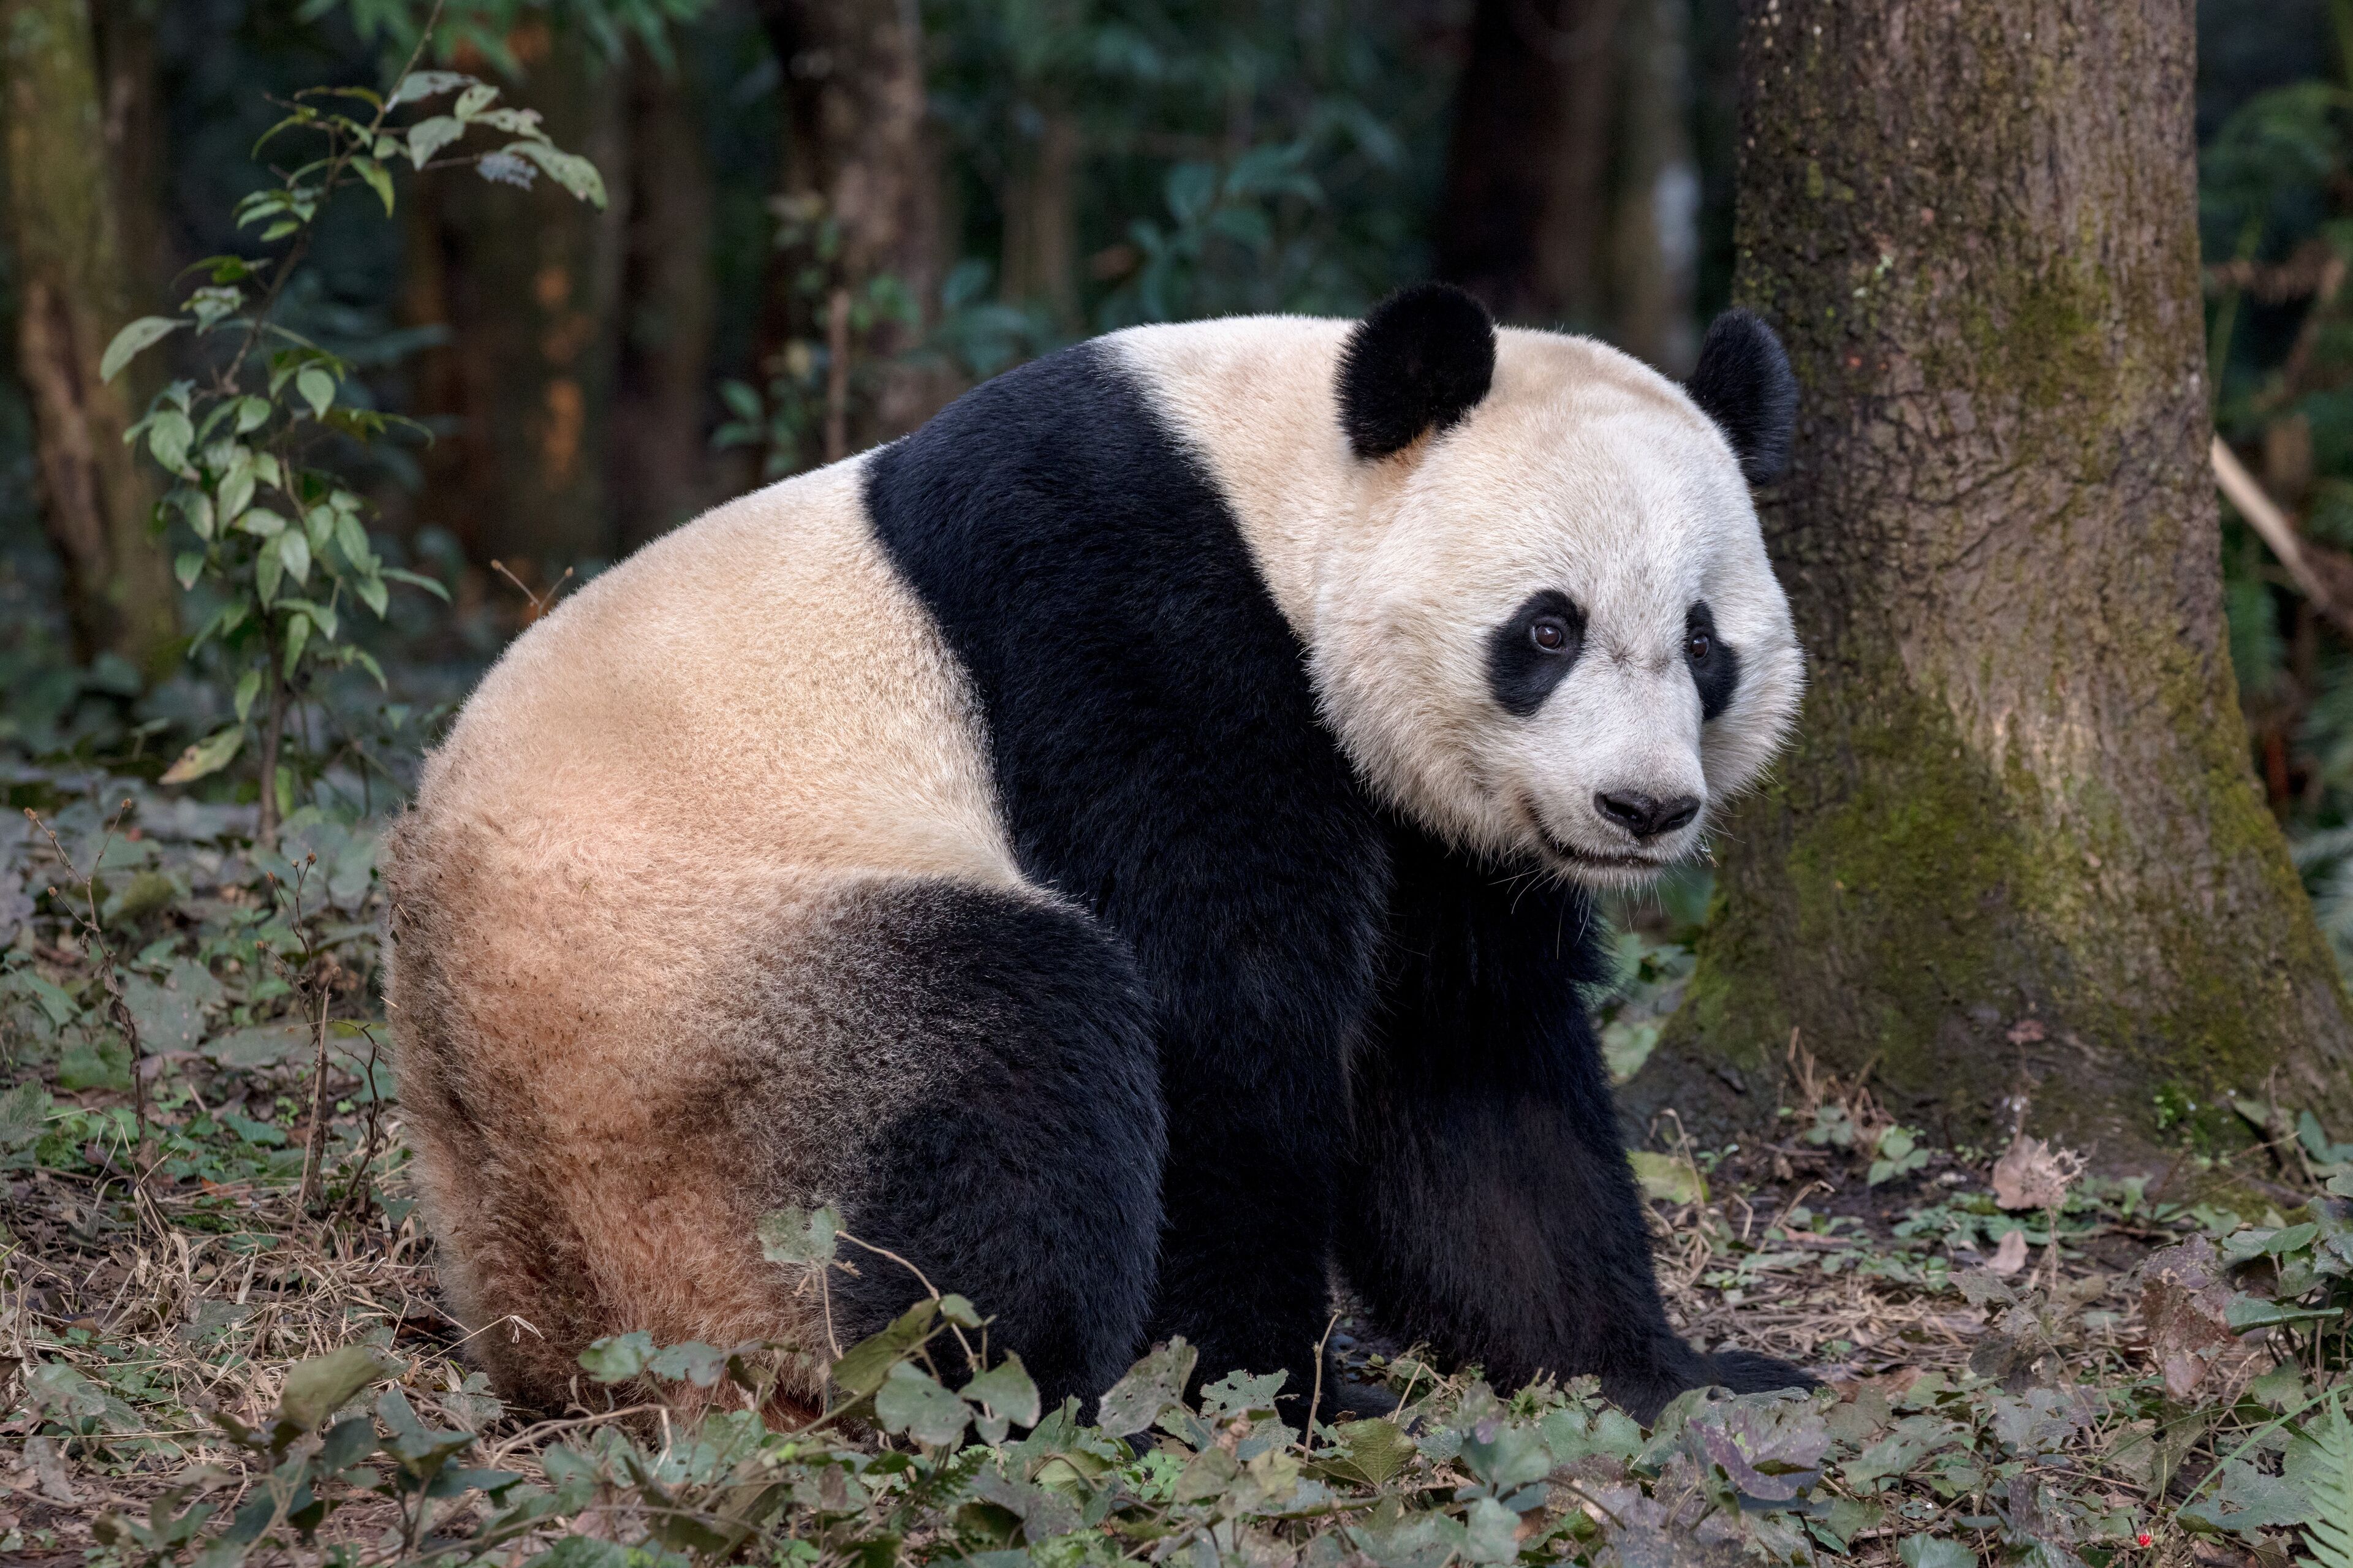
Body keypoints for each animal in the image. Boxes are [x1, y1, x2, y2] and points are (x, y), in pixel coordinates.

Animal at [384, 283, 1811, 1425]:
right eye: (1547, 629)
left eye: (1703, 642)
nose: (1643, 808)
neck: (1277, 493)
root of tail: (537, 1298)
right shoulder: (1137, 637)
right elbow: (1222, 1022)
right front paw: (1269, 1390)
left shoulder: (1436, 831)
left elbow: (1467, 1061)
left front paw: (1657, 1372)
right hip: (690, 1030)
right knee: (1010, 1050)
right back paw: (1028, 1388)